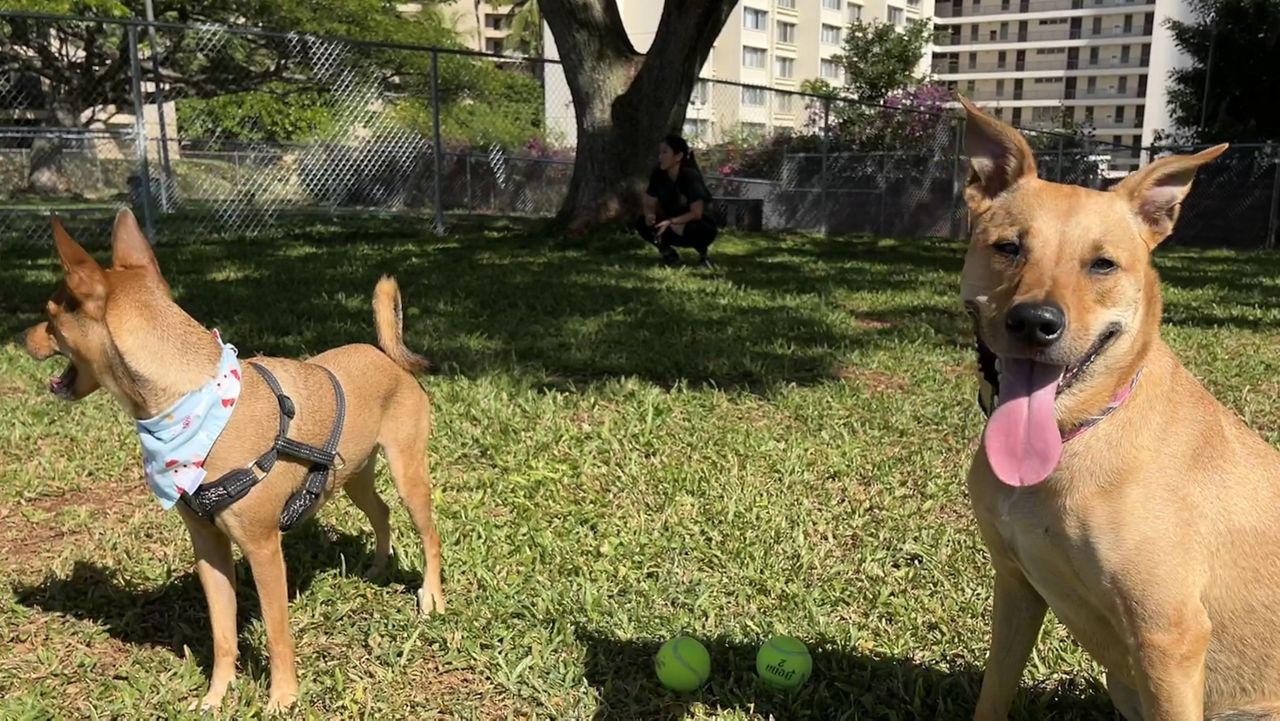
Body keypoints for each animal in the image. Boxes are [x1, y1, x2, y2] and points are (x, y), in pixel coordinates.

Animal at [21, 210, 445, 717]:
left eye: (50, 316)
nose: (22, 338)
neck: (193, 403)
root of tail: (384, 354)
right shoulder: (209, 547)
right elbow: (223, 635)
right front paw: (216, 697)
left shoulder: (263, 548)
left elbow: (278, 634)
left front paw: (282, 699)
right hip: (351, 477)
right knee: (380, 512)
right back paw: (379, 568)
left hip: (408, 472)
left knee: (429, 535)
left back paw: (432, 598)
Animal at [957, 96, 1280, 721]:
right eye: (1009, 248)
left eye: (1102, 265)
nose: (1035, 322)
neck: (1077, 432)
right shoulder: (1016, 587)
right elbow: (992, 693)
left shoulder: (1169, 639)